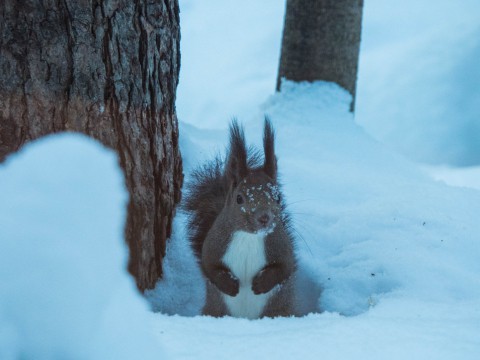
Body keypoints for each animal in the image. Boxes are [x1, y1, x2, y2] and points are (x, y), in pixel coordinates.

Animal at [185, 118, 294, 318]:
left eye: (278, 197)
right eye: (239, 199)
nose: (264, 218)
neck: (249, 237)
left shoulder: (281, 245)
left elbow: (285, 268)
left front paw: (260, 283)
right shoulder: (214, 243)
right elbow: (209, 266)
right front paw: (231, 285)